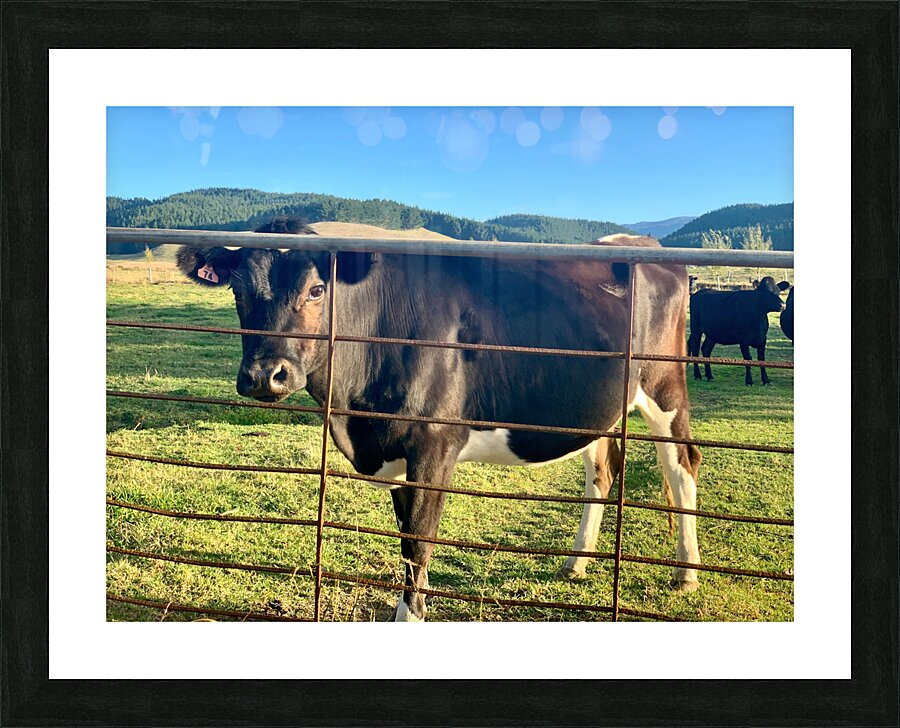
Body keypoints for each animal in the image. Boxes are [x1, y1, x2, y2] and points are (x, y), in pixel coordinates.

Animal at [177, 220, 703, 621]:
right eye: (239, 291)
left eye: (316, 289)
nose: (265, 375)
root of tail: (645, 245)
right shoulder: (392, 449)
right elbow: (406, 542)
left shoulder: (434, 445)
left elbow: (419, 543)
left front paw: (410, 617)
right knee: (603, 471)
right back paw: (576, 562)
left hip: (664, 386)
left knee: (682, 464)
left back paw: (687, 571)